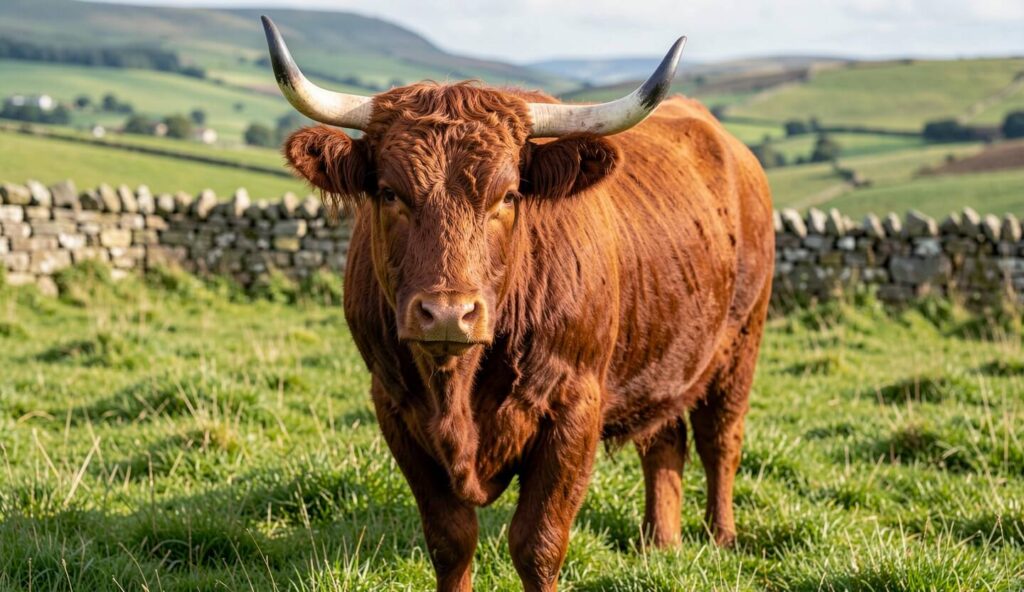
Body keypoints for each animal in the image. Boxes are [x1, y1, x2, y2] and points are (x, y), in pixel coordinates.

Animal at [262, 16, 774, 592]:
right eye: (390, 192)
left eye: (507, 196)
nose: (448, 314)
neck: (457, 389)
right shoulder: (394, 405)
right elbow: (451, 540)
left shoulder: (575, 408)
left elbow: (538, 544)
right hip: (666, 351)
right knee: (666, 439)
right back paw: (658, 544)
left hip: (740, 342)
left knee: (719, 438)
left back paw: (720, 536)